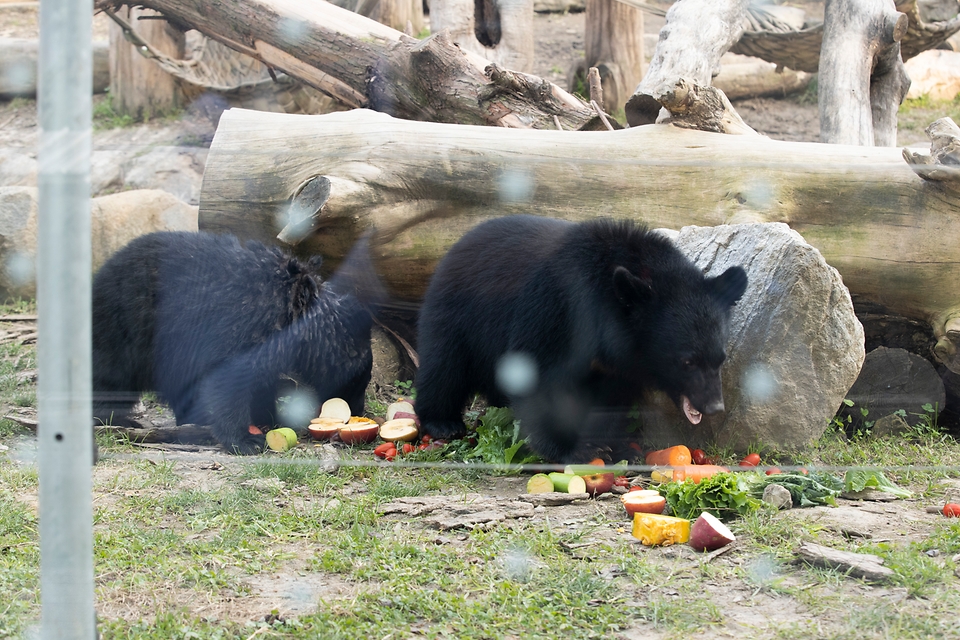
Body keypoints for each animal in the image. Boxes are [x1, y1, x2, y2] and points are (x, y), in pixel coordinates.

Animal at [91, 231, 376, 456]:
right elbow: (228, 383)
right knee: (111, 376)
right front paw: (245, 440)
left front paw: (268, 418)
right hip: (127, 325)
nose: (358, 411)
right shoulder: (242, 327)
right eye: (358, 380)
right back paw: (117, 418)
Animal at [416, 214, 748, 460]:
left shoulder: (620, 365)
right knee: (444, 366)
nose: (714, 406)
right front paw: (570, 450)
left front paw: (614, 447)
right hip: (456, 316)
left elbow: (612, 398)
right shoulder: (555, 308)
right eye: (687, 361)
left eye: (720, 359)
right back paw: (443, 422)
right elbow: (539, 376)